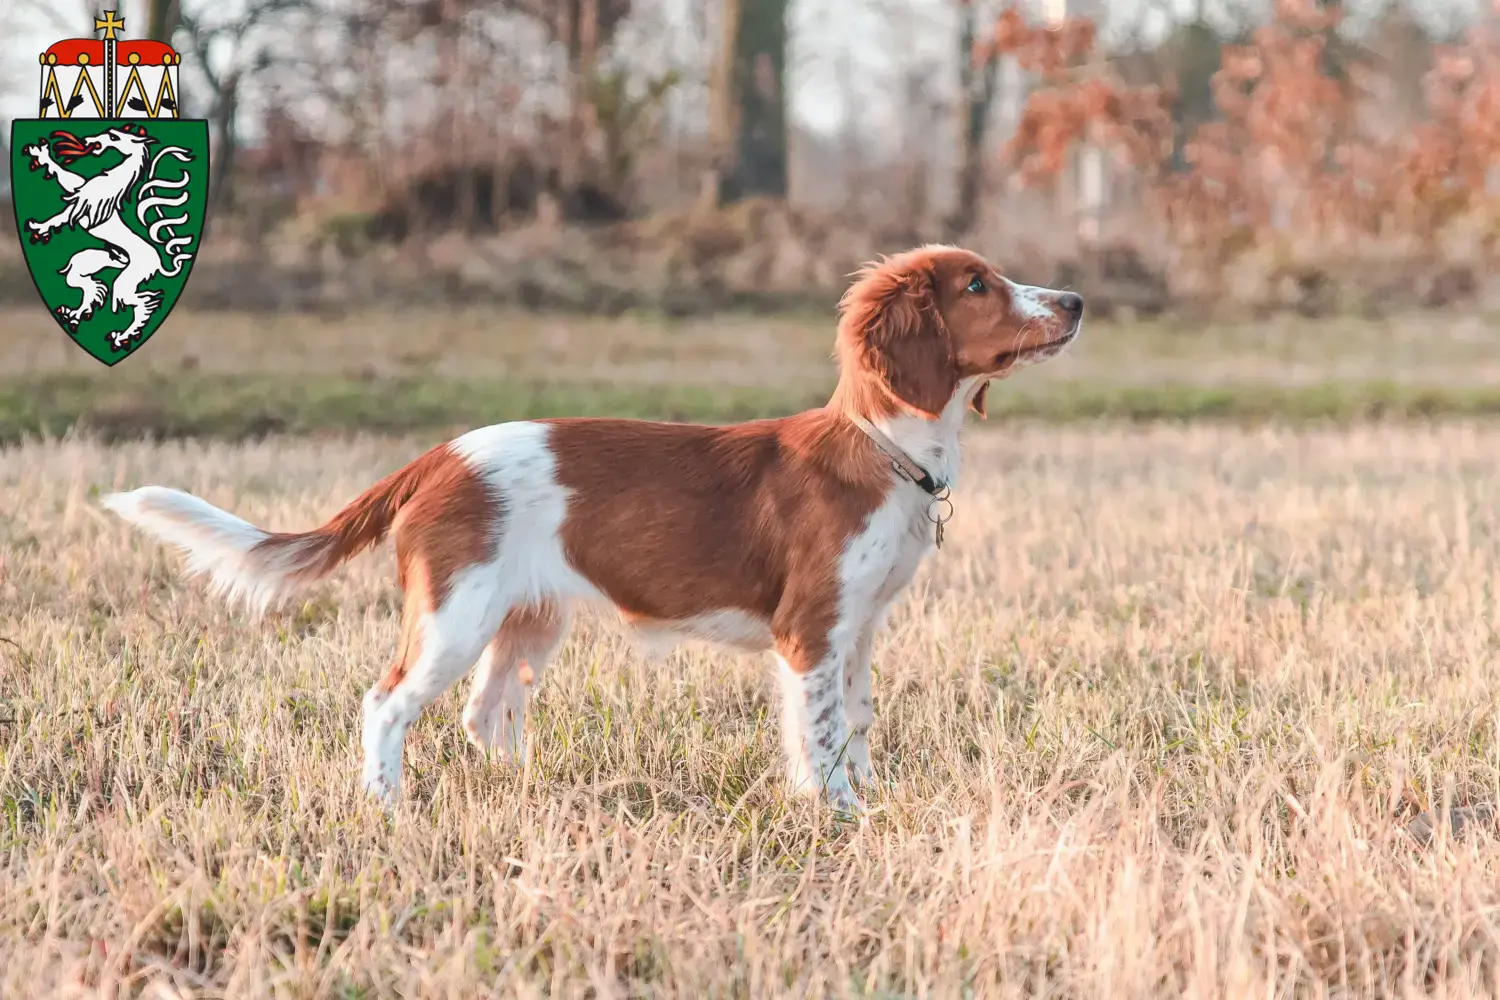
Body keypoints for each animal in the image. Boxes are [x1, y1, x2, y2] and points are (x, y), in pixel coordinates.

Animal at [105, 244, 1086, 815]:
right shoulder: (811, 630)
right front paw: (834, 814)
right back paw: (386, 808)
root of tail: (436, 457)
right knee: (385, 704)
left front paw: (871, 804)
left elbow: (859, 725)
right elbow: (819, 736)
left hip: (529, 620)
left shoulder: (861, 631)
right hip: (455, 616)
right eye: (978, 285)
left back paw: (527, 792)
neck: (883, 447)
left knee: (484, 715)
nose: (1076, 299)